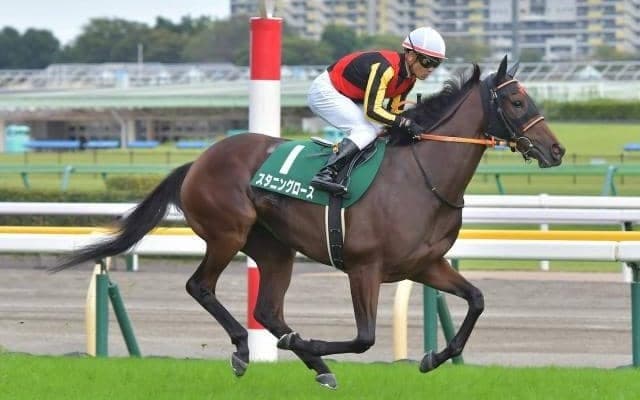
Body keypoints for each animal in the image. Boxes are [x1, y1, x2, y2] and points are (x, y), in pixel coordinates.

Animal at [53, 55, 565, 389]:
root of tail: (198, 160)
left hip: (275, 248)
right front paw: (315, 343)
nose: (556, 150)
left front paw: (432, 357)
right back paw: (246, 349)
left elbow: (476, 301)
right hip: (227, 233)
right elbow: (364, 338)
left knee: (268, 310)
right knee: (202, 287)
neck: (422, 176)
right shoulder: (364, 268)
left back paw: (311, 363)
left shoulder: (425, 265)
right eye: (516, 102)